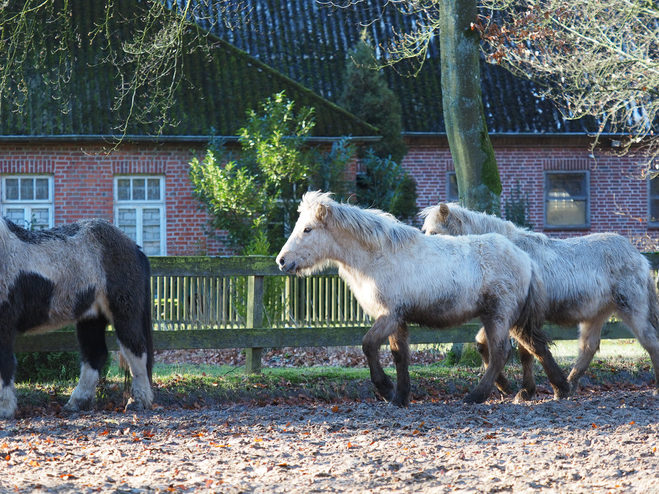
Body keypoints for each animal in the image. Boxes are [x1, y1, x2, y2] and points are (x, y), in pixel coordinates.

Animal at [276, 191, 568, 408]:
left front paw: (386, 389)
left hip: (499, 315)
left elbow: (368, 345)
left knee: (501, 352)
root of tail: (525, 258)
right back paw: (553, 388)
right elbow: (400, 356)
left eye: (308, 229)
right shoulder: (398, 321)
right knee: (528, 347)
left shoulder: (389, 316)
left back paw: (477, 396)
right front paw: (400, 397)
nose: (282, 261)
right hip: (505, 318)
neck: (378, 256)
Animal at [422, 202, 659, 398]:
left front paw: (524, 390)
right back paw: (569, 385)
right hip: (596, 314)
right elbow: (489, 345)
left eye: (436, 233)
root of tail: (639, 257)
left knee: (650, 341)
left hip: (632, 309)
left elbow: (526, 351)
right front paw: (514, 388)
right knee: (588, 347)